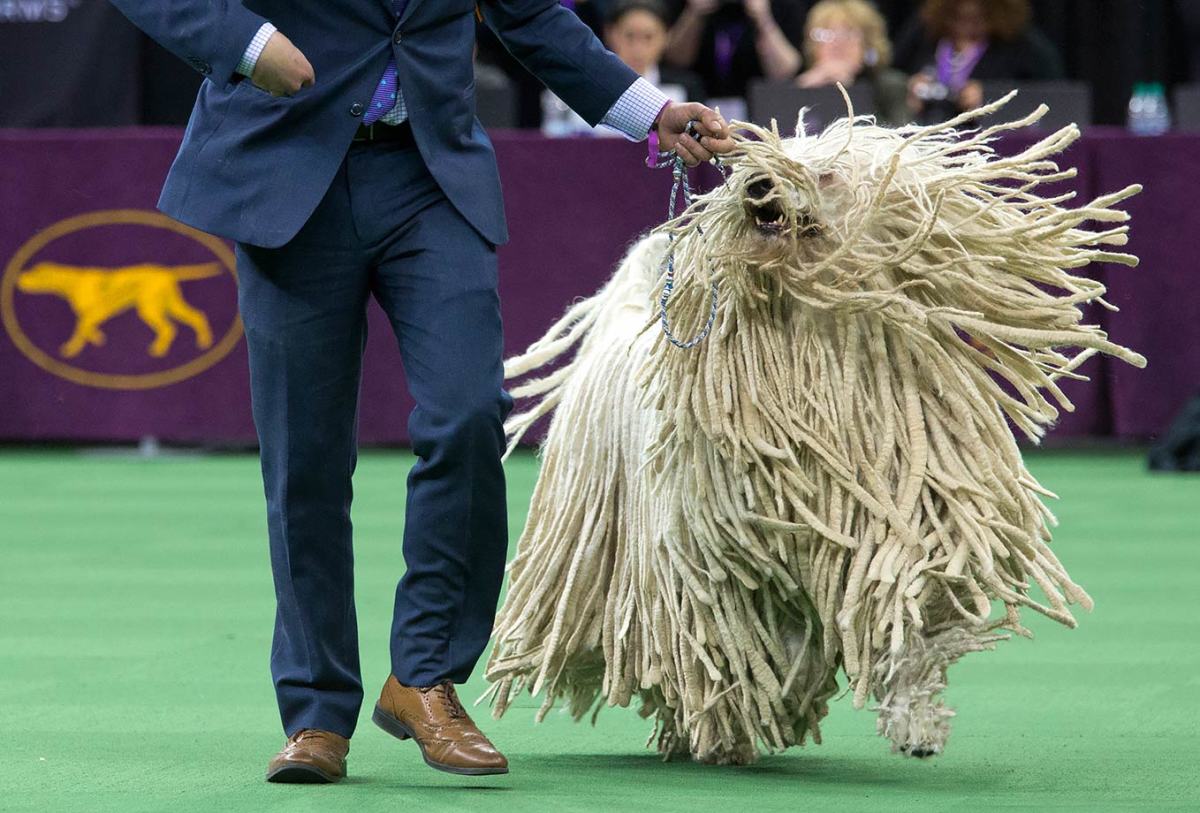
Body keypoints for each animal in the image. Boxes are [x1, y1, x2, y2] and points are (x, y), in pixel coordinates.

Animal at [477, 95, 1142, 762]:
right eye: (752, 166)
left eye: (825, 175)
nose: (759, 186)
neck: (813, 360)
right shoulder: (718, 554)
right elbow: (733, 638)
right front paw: (746, 714)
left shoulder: (908, 506)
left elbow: (911, 602)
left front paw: (914, 718)